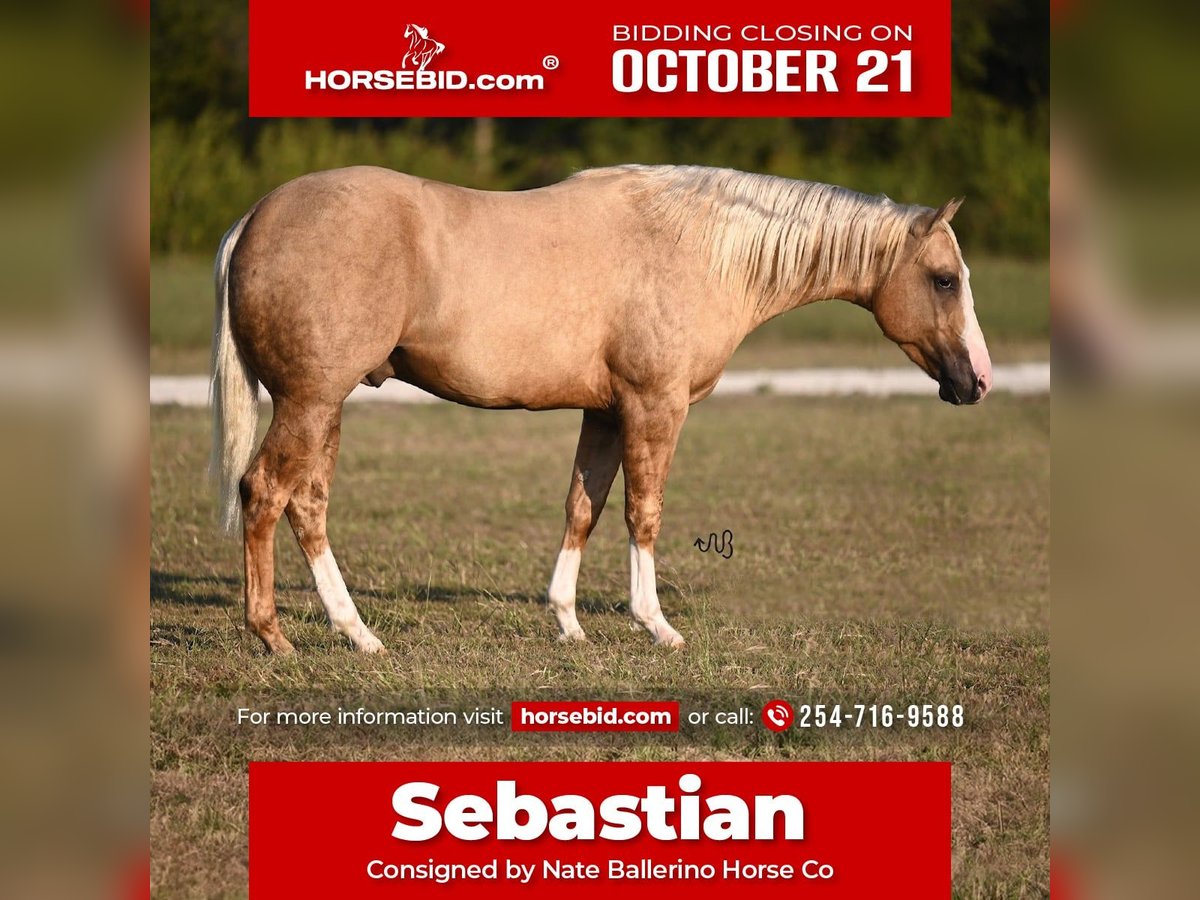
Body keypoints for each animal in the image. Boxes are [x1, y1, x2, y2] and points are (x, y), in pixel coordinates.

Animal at [208, 164, 993, 657]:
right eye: (944, 280)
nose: (979, 381)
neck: (697, 247)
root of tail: (253, 219)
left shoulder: (606, 414)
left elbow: (582, 507)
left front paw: (567, 623)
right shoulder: (654, 407)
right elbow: (643, 513)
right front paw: (656, 625)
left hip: (325, 406)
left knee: (307, 506)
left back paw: (358, 634)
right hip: (310, 403)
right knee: (265, 493)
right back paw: (273, 635)